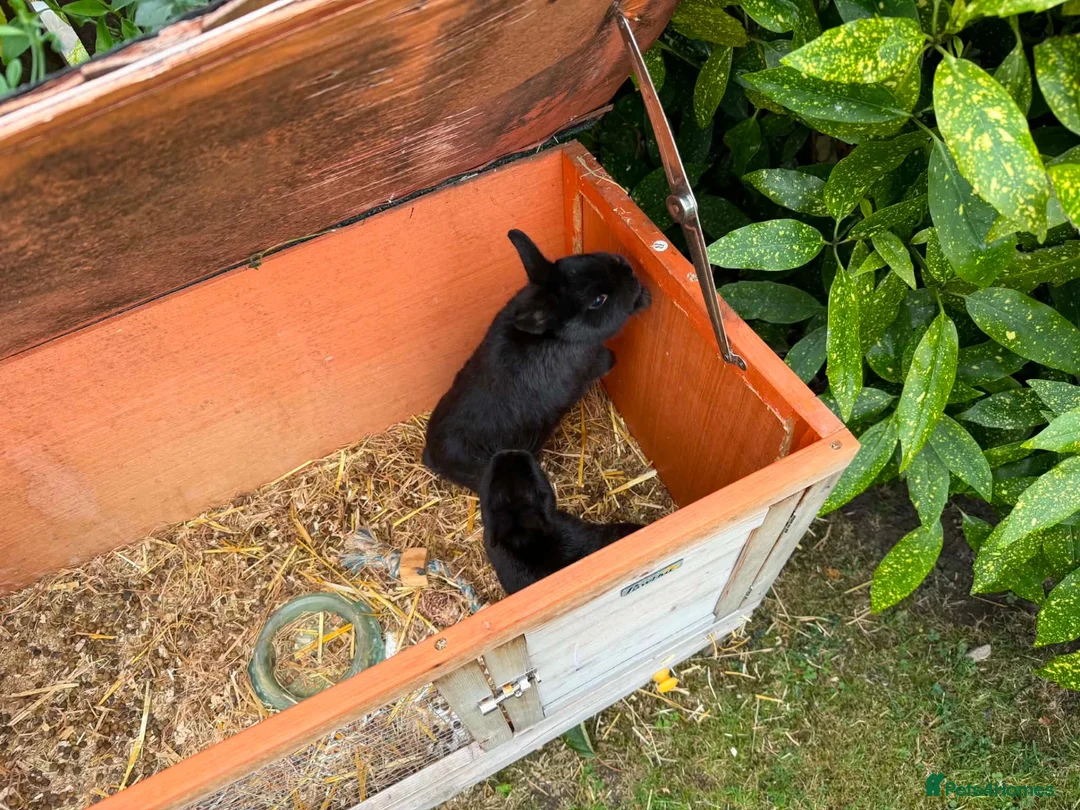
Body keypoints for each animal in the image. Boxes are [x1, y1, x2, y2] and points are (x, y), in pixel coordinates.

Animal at [422, 229, 650, 491]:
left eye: (582, 258)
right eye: (598, 300)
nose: (628, 269)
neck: (558, 337)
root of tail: (434, 458)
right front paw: (644, 300)